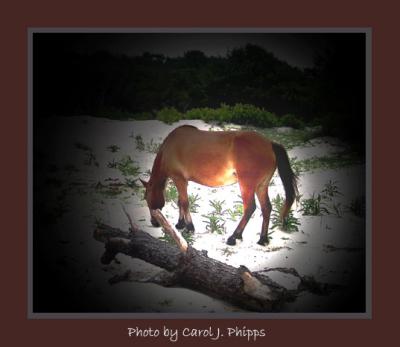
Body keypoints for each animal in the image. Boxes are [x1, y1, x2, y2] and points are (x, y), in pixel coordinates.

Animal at [141, 126, 296, 246]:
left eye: (147, 199)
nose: (154, 222)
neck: (170, 148)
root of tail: (269, 144)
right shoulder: (181, 181)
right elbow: (180, 202)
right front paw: (180, 224)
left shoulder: (179, 180)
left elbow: (184, 203)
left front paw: (189, 227)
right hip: (261, 186)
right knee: (266, 208)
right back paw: (263, 239)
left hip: (247, 186)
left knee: (249, 208)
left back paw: (234, 237)